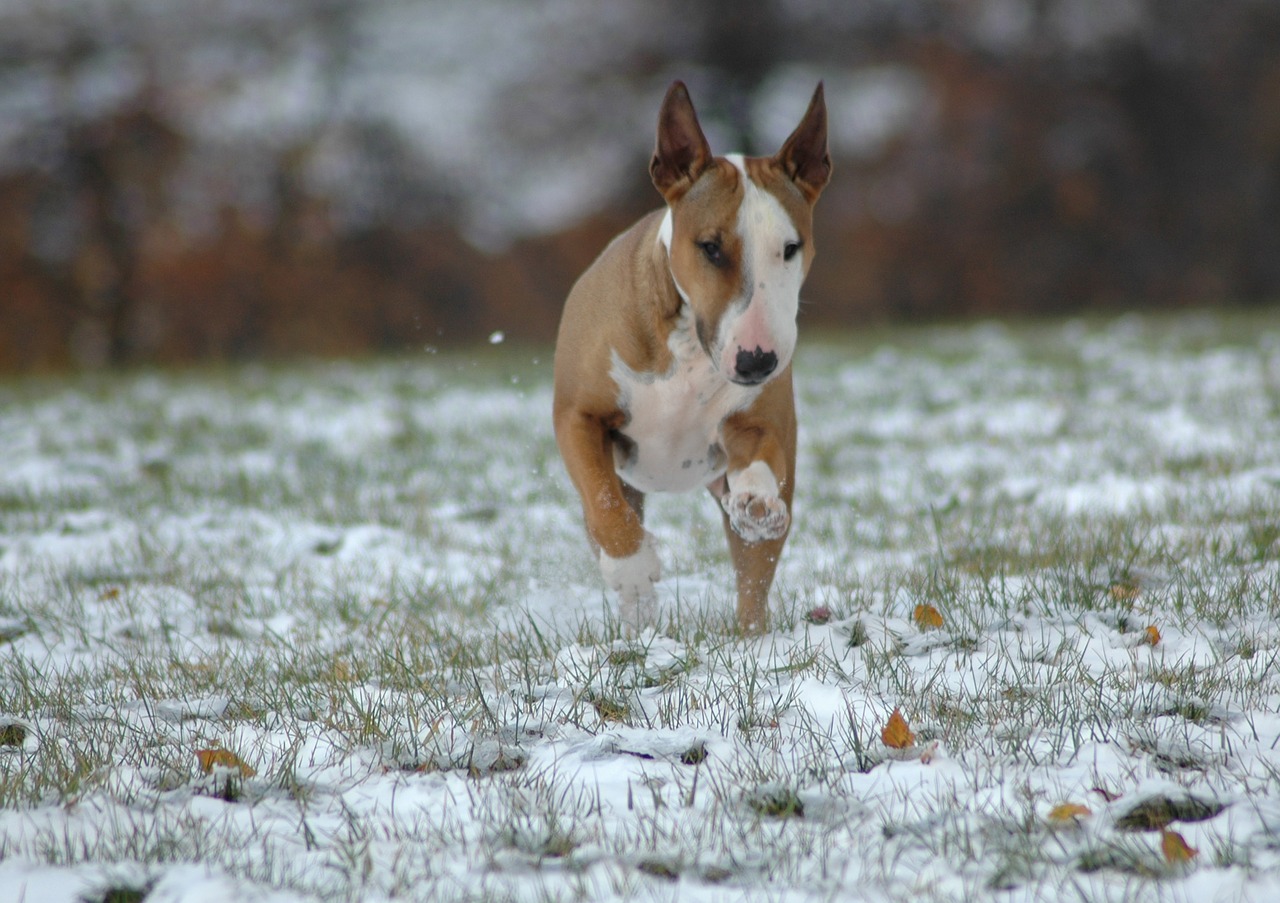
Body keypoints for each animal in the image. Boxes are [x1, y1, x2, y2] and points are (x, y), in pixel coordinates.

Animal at [550, 81, 829, 630]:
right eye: (710, 247)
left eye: (791, 247)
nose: (757, 362)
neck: (689, 345)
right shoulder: (577, 416)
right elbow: (603, 503)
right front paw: (635, 569)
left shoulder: (756, 422)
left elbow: (761, 453)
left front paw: (756, 501)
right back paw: (638, 621)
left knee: (753, 583)